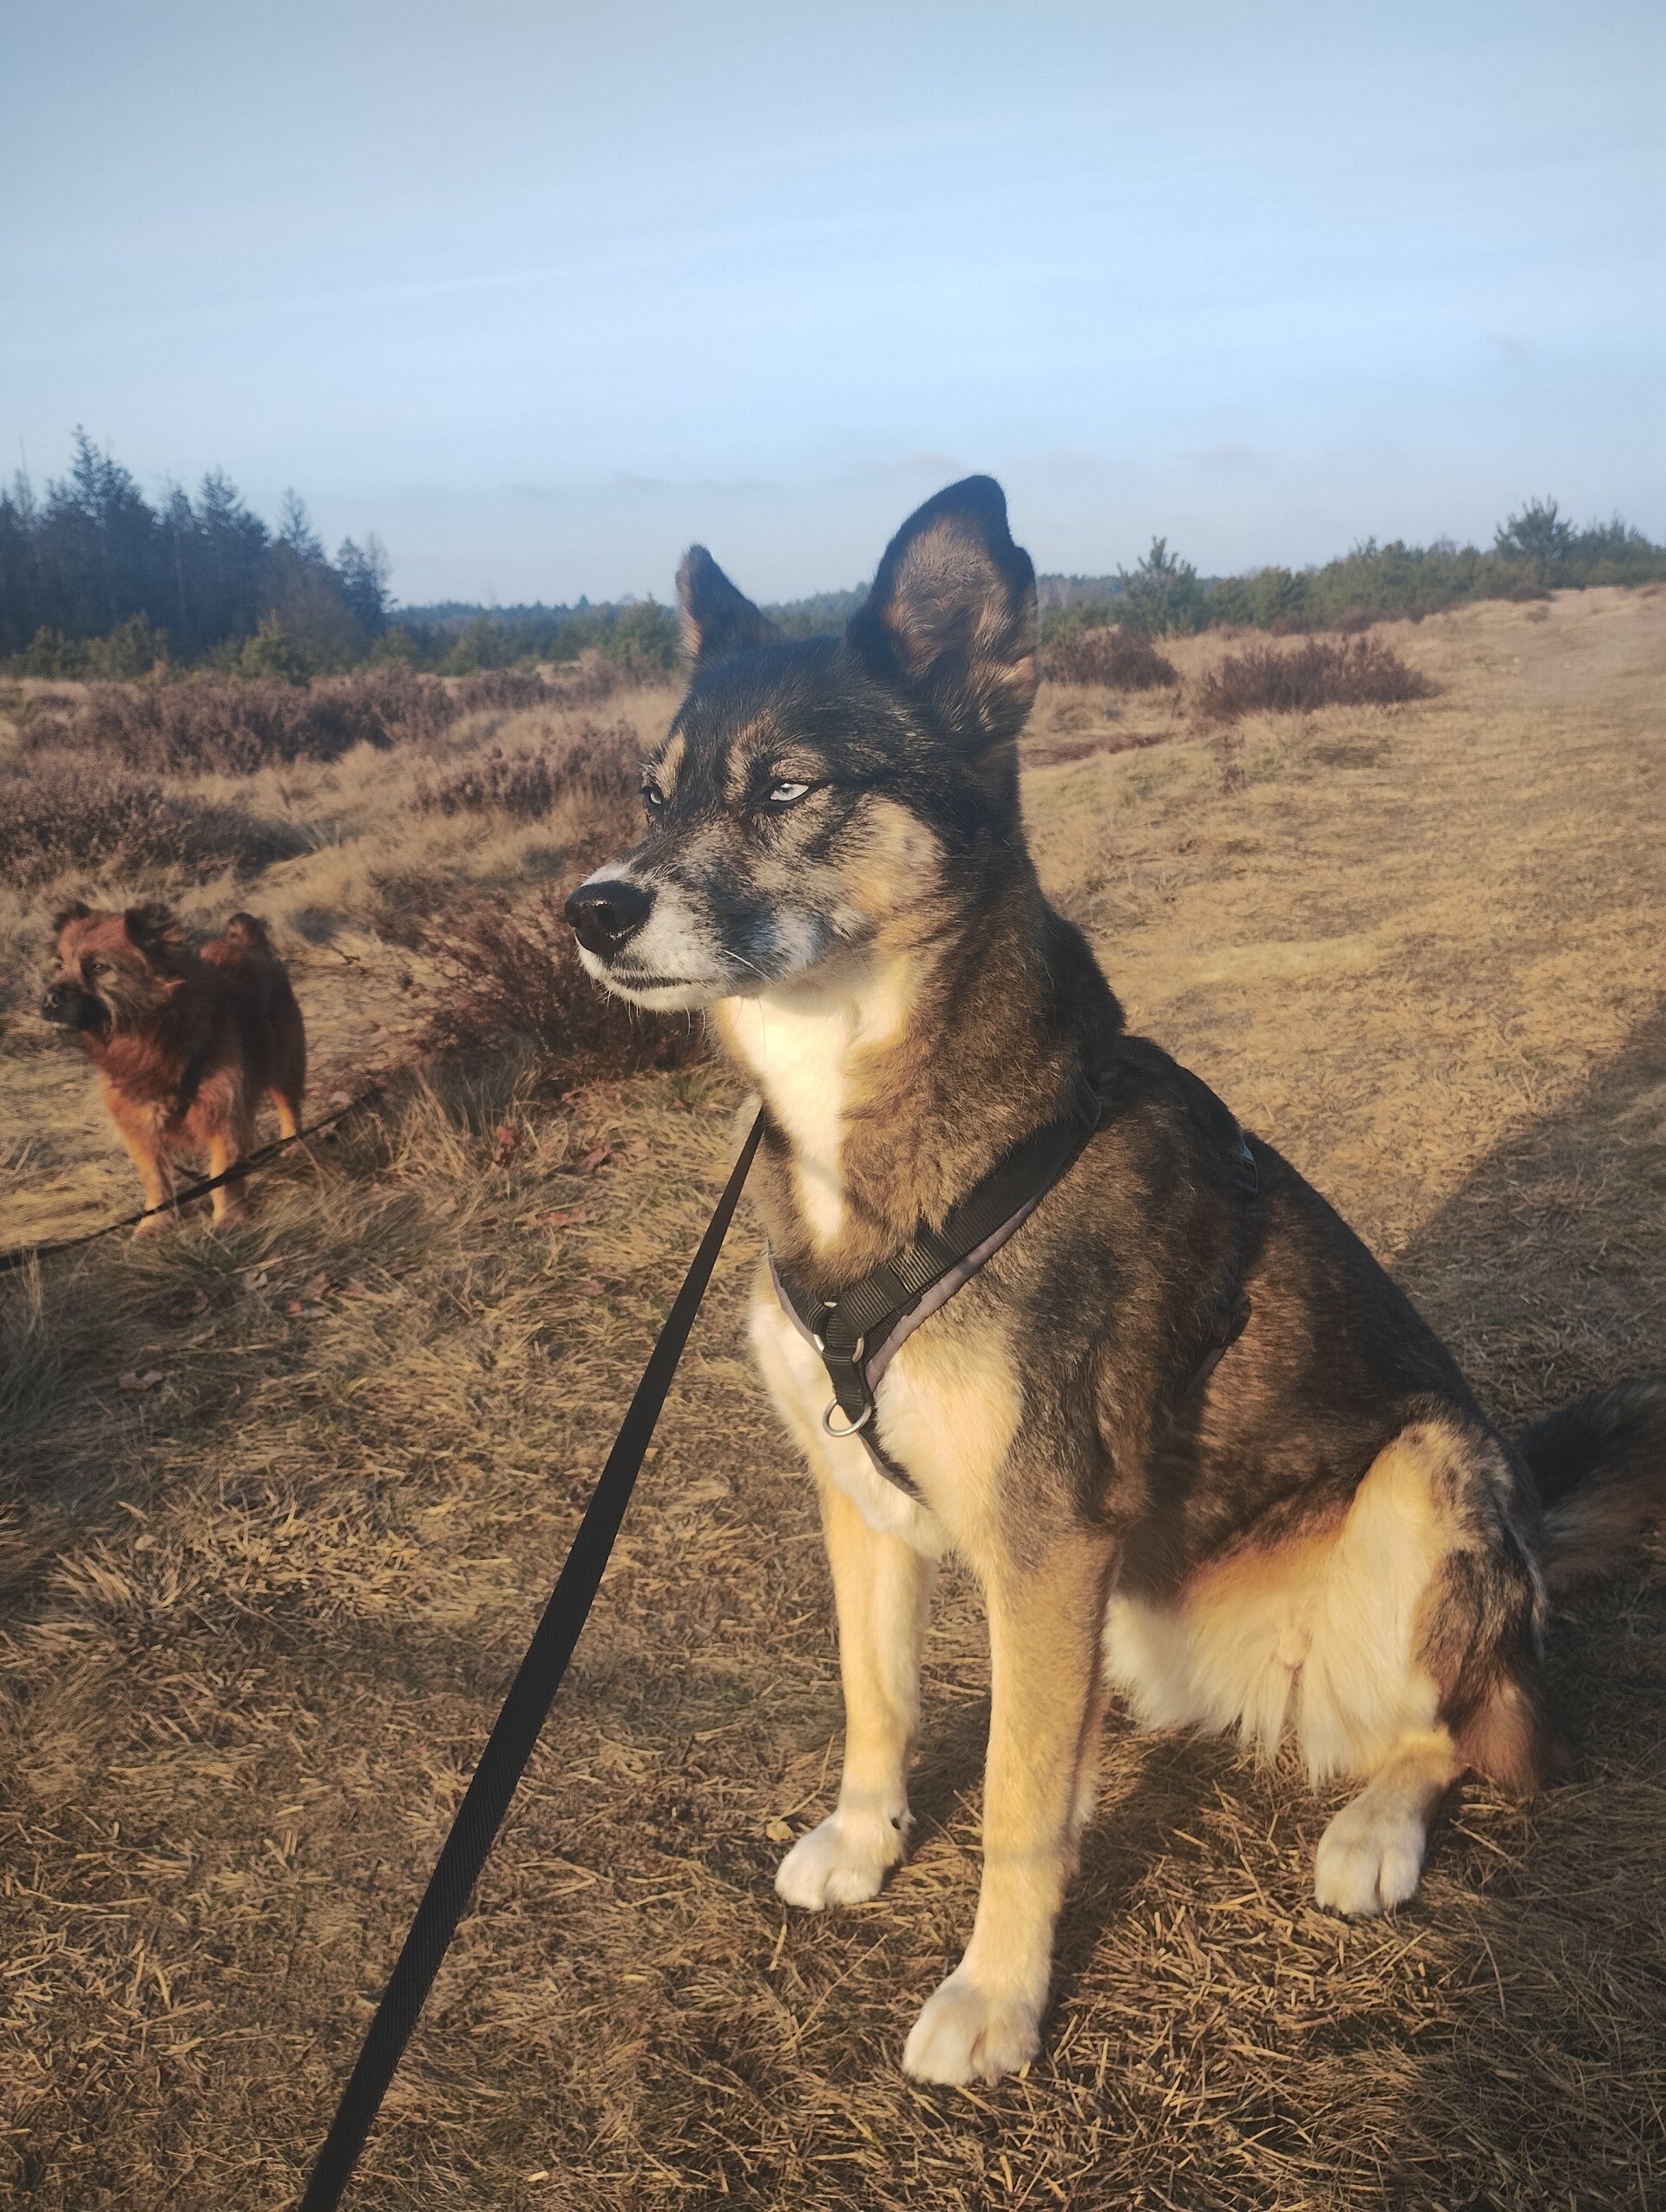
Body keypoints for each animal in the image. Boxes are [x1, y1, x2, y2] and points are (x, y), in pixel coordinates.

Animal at [42, 903, 306, 1234]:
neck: (150, 1039)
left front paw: (229, 1219)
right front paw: (157, 1221)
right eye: (59, 965)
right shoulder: (141, 1128)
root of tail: (248, 943)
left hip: (284, 1066)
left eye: (98, 967)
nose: (48, 999)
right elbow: (155, 1179)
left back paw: (294, 1147)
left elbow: (222, 1176)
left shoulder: (224, 1114)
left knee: (289, 1110)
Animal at [564, 477, 1665, 2086]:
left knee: (1472, 1731)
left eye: (786, 790)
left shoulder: (1042, 1539)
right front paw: (865, 1838)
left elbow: (1020, 1809)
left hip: (1429, 1470)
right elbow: (880, 1698)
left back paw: (1376, 1829)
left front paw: (995, 1995)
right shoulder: (859, 1497)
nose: (588, 911)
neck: (882, 1112)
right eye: (652, 795)